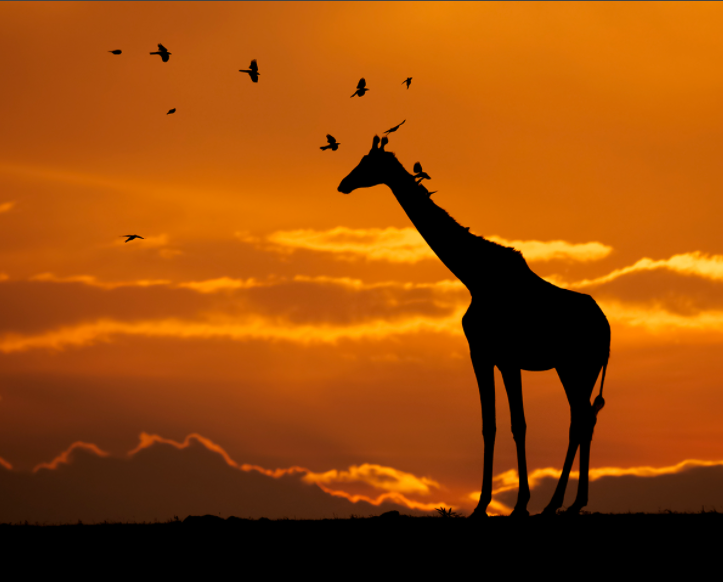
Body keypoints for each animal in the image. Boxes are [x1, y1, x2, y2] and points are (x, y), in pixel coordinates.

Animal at [340, 137, 612, 520]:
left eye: (368, 163)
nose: (343, 184)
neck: (475, 277)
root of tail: (607, 329)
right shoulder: (483, 355)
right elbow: (490, 424)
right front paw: (484, 505)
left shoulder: (505, 357)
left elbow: (517, 424)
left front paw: (518, 505)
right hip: (576, 368)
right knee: (584, 419)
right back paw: (573, 503)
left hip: (576, 366)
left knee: (580, 421)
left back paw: (555, 504)